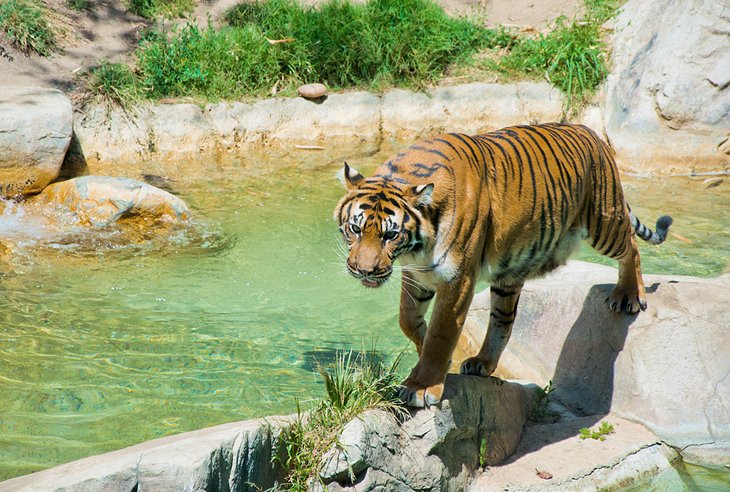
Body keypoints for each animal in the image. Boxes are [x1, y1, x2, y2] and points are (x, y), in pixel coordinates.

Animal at [332, 122, 668, 408]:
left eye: (390, 234)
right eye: (355, 228)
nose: (364, 271)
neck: (417, 249)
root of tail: (592, 133)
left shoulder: (457, 280)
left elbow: (442, 335)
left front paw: (422, 386)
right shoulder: (418, 274)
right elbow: (407, 320)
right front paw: (423, 349)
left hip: (604, 221)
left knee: (631, 245)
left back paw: (628, 295)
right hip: (509, 274)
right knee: (503, 322)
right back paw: (482, 362)